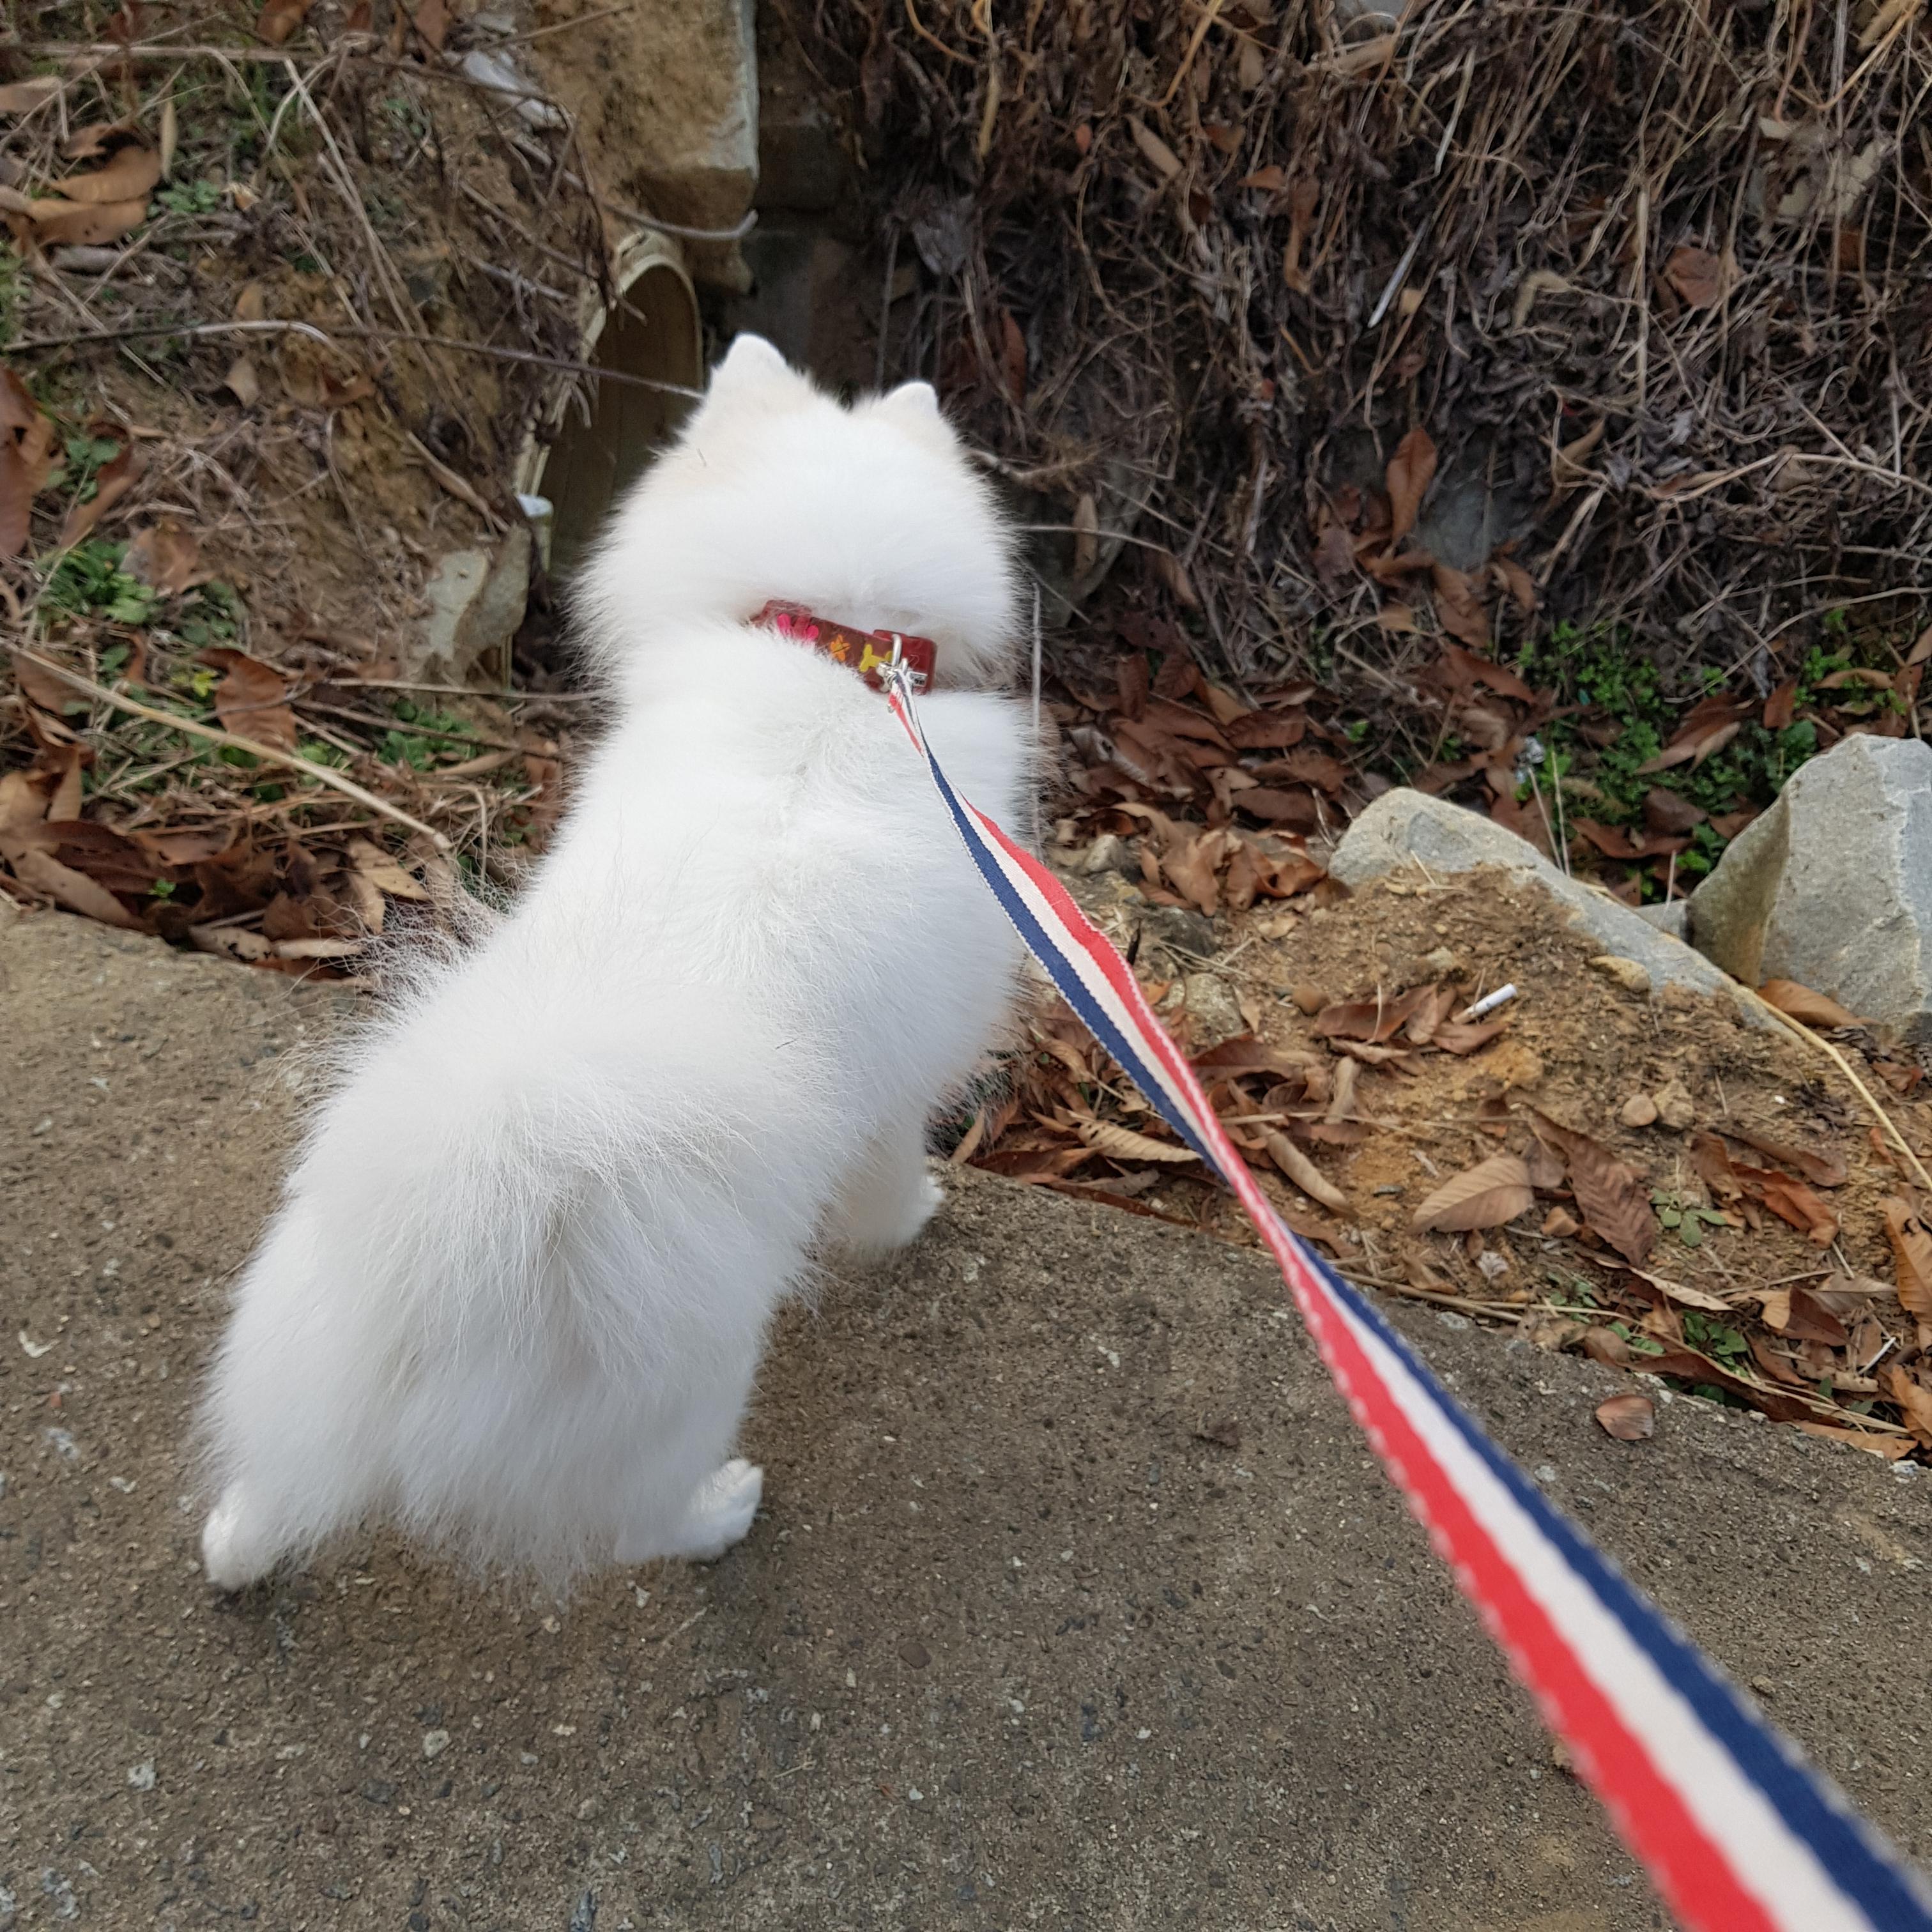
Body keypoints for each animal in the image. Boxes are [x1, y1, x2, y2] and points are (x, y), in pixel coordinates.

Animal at [197, 336, 1035, 1584]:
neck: (836, 661)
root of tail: (466, 1213)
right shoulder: (901, 1085)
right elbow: (890, 1184)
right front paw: (919, 1212)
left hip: (307, 1338)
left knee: (270, 1490)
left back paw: (237, 1543)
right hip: (683, 1386)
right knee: (640, 1522)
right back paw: (721, 1513)